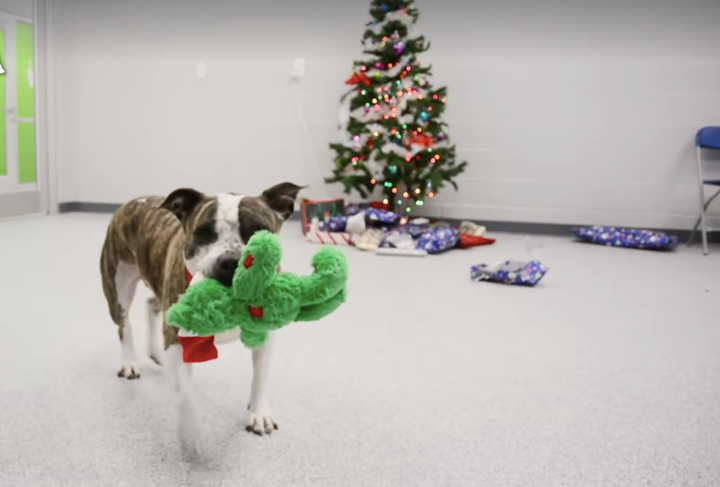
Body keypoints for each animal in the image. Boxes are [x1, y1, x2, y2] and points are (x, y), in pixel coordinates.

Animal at [100, 183, 302, 442]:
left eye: (259, 232)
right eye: (205, 233)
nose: (232, 261)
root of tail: (134, 201)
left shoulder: (265, 335)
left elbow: (260, 378)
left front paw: (259, 414)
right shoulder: (178, 339)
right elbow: (185, 395)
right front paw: (190, 431)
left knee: (151, 303)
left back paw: (156, 354)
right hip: (118, 283)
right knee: (124, 323)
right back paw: (129, 362)